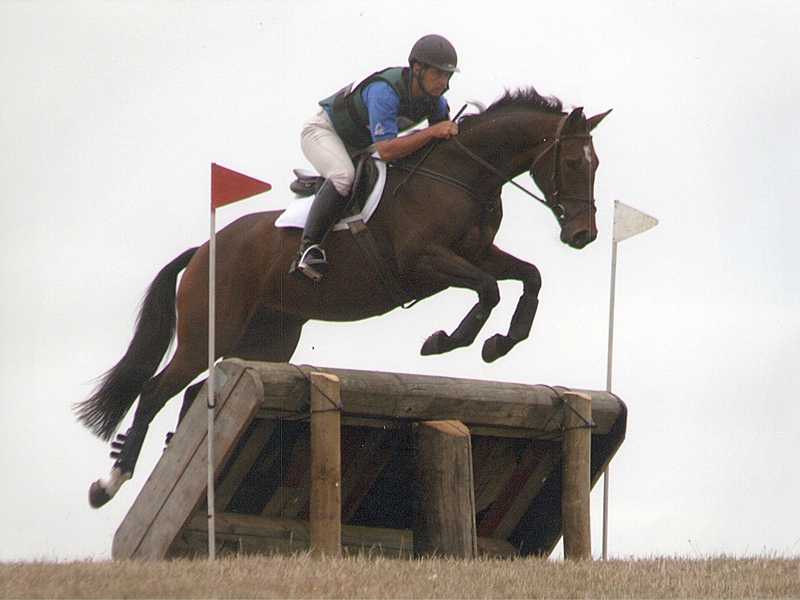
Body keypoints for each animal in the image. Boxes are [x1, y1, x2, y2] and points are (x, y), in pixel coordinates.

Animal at [76, 88, 611, 508]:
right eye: (570, 162)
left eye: (596, 166)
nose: (583, 235)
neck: (462, 173)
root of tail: (204, 249)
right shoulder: (424, 262)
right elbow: (488, 289)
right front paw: (447, 340)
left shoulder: (478, 253)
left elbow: (529, 278)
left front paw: (501, 343)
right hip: (210, 330)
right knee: (155, 391)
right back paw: (109, 483)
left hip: (267, 342)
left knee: (196, 392)